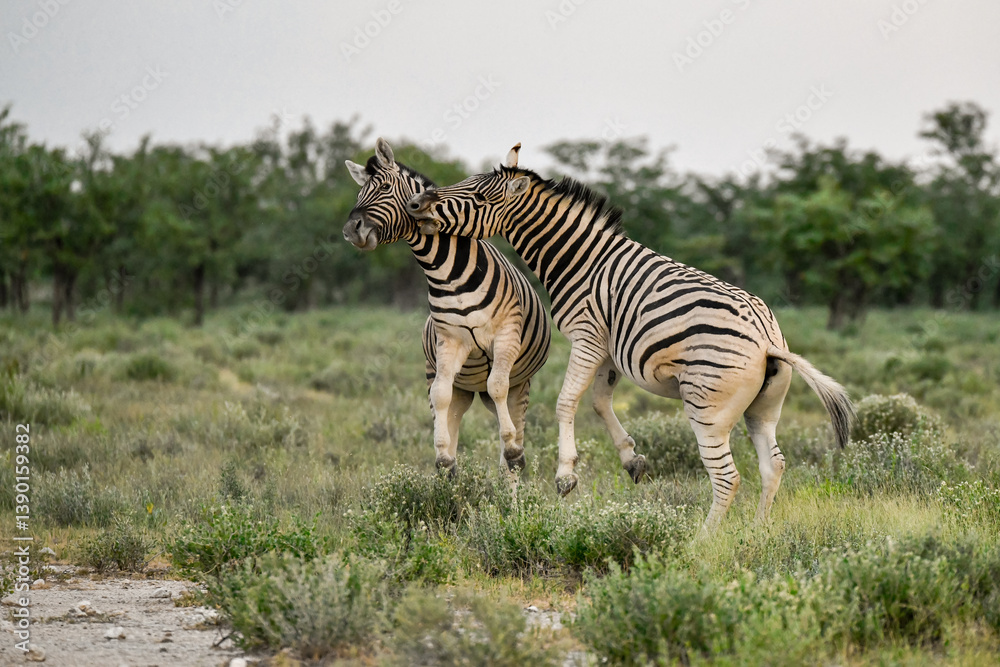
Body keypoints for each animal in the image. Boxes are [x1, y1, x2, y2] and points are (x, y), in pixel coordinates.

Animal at [343, 138, 551, 477]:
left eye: (385, 187)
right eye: (359, 193)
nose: (350, 231)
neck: (445, 269)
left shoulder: (505, 336)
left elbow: (498, 388)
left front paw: (512, 448)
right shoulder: (450, 341)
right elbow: (440, 394)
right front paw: (443, 455)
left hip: (521, 382)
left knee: (509, 421)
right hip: (463, 387)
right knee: (453, 407)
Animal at [408, 143, 854, 530]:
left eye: (476, 195)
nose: (416, 205)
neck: (579, 259)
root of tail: (767, 339)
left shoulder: (586, 335)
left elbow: (567, 401)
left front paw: (565, 475)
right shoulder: (609, 349)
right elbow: (600, 403)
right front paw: (631, 458)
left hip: (708, 410)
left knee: (728, 478)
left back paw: (701, 542)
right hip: (763, 410)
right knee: (772, 465)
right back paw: (758, 531)